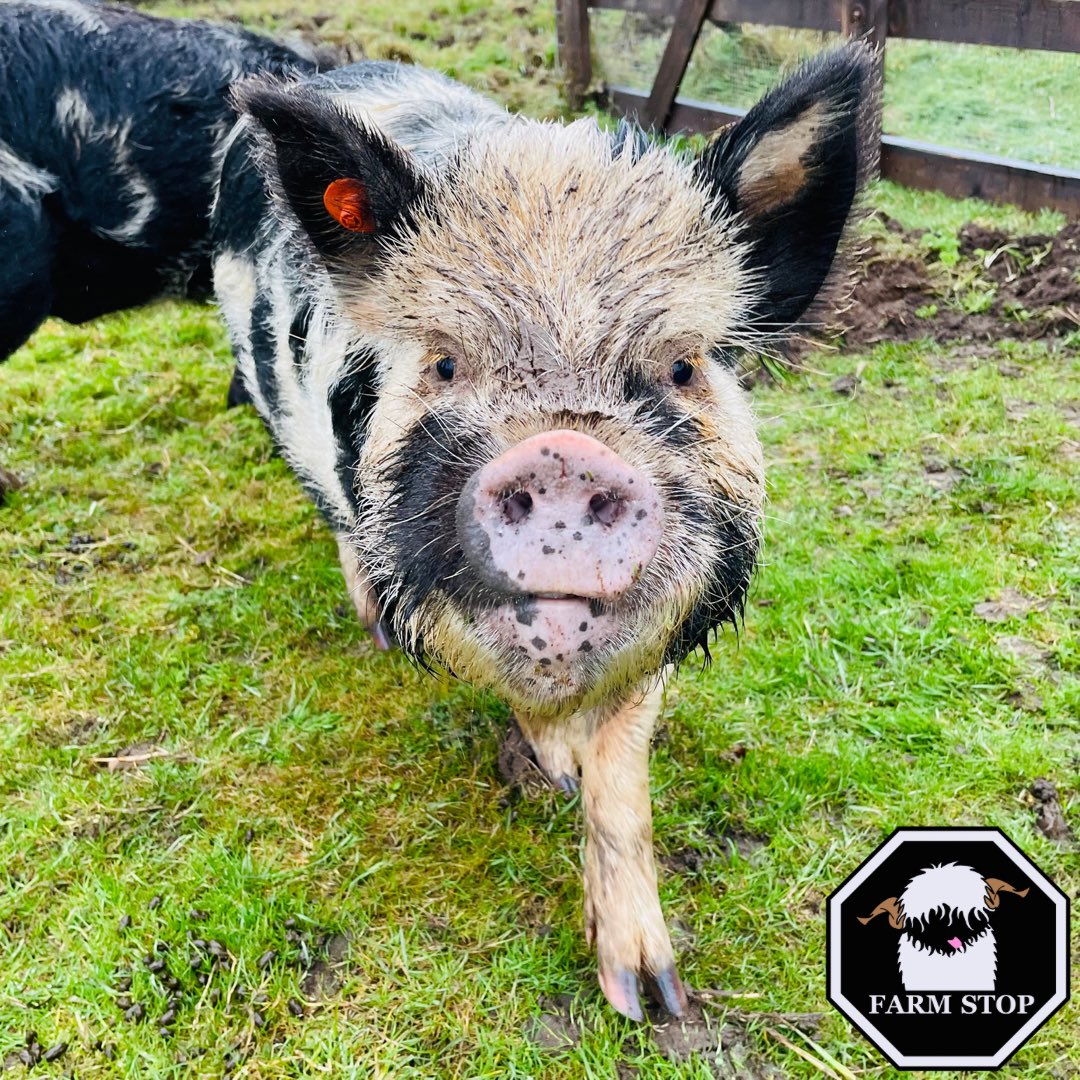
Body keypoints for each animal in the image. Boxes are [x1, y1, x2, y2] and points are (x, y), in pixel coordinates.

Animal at [211, 48, 875, 1019]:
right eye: (446, 362)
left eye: (683, 368)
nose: (564, 452)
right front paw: (554, 769)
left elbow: (623, 783)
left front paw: (650, 998)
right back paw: (371, 627)